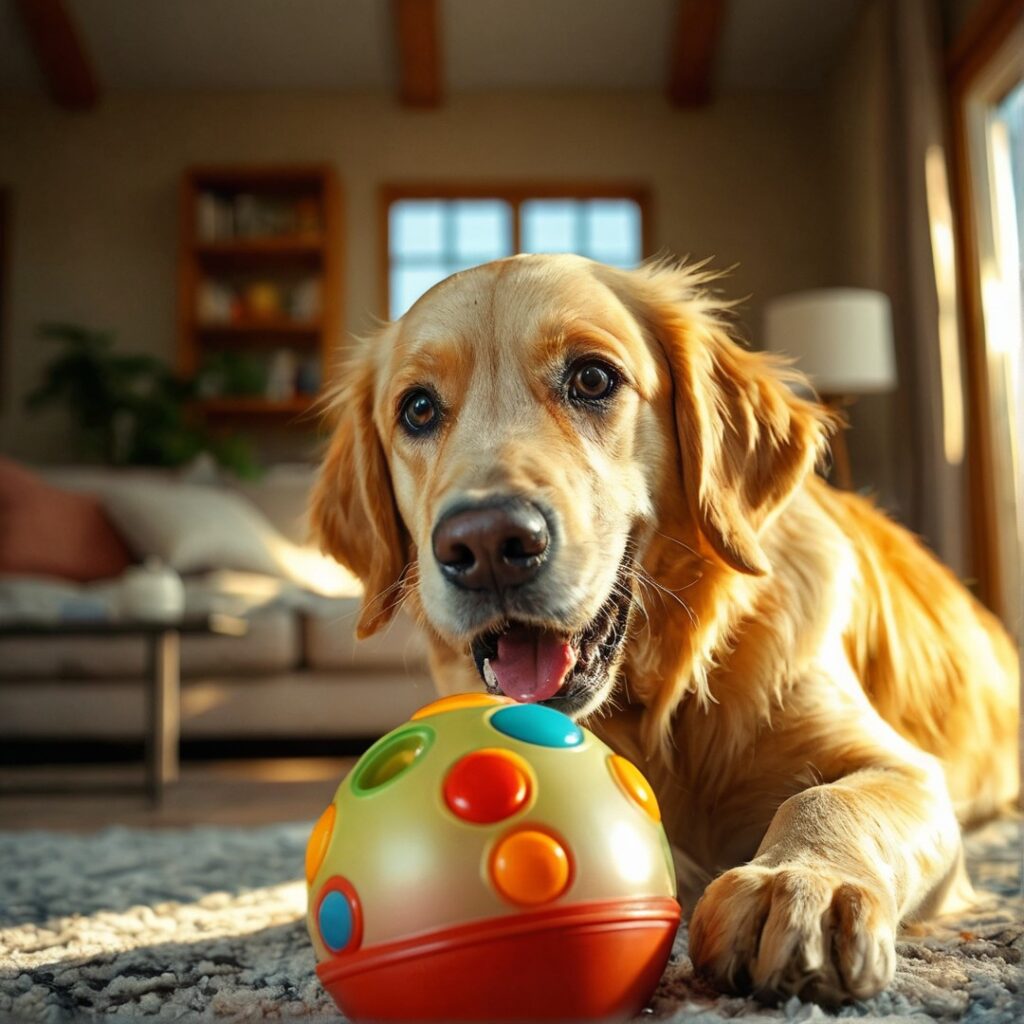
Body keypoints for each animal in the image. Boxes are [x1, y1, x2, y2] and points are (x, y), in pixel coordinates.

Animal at [309, 256, 1015, 999]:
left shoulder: (907, 769)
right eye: (418, 409)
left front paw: (798, 885)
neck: (657, 708)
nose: (487, 545)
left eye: (593, 379)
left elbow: (827, 799)